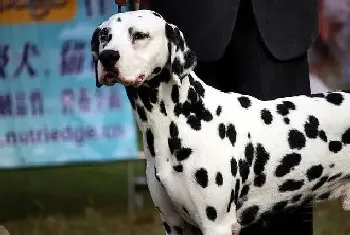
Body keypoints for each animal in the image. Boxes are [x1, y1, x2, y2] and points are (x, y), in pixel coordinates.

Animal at [91, 9, 350, 235]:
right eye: (105, 36)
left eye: (139, 35)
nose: (107, 57)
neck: (180, 120)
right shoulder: (175, 226)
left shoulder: (216, 224)